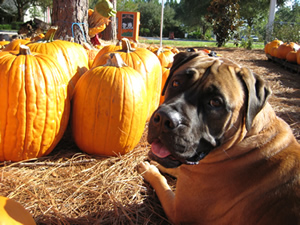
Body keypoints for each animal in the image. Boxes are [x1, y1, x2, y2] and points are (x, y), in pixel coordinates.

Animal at [138, 51, 300, 225]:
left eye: (215, 102)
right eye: (175, 83)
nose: (164, 119)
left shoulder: (176, 211)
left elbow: (162, 183)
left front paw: (150, 170)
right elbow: (177, 169)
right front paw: (156, 164)